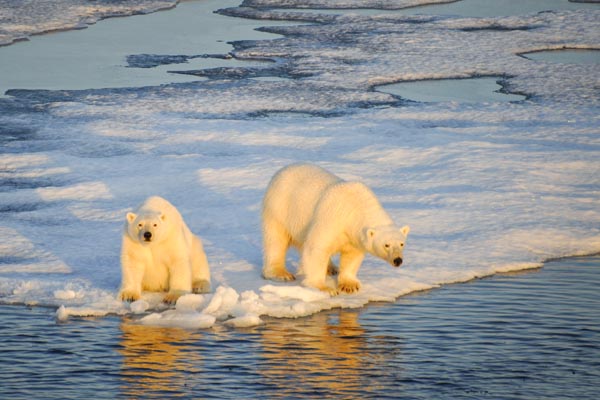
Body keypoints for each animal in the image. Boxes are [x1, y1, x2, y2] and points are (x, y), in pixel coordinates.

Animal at [260, 164, 410, 296]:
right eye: (386, 245)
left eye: (402, 244)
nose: (398, 260)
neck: (356, 207)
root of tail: (282, 171)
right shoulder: (332, 218)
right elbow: (317, 248)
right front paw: (325, 288)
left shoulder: (354, 236)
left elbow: (352, 255)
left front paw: (349, 286)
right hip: (280, 208)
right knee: (276, 240)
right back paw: (281, 273)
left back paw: (331, 268)